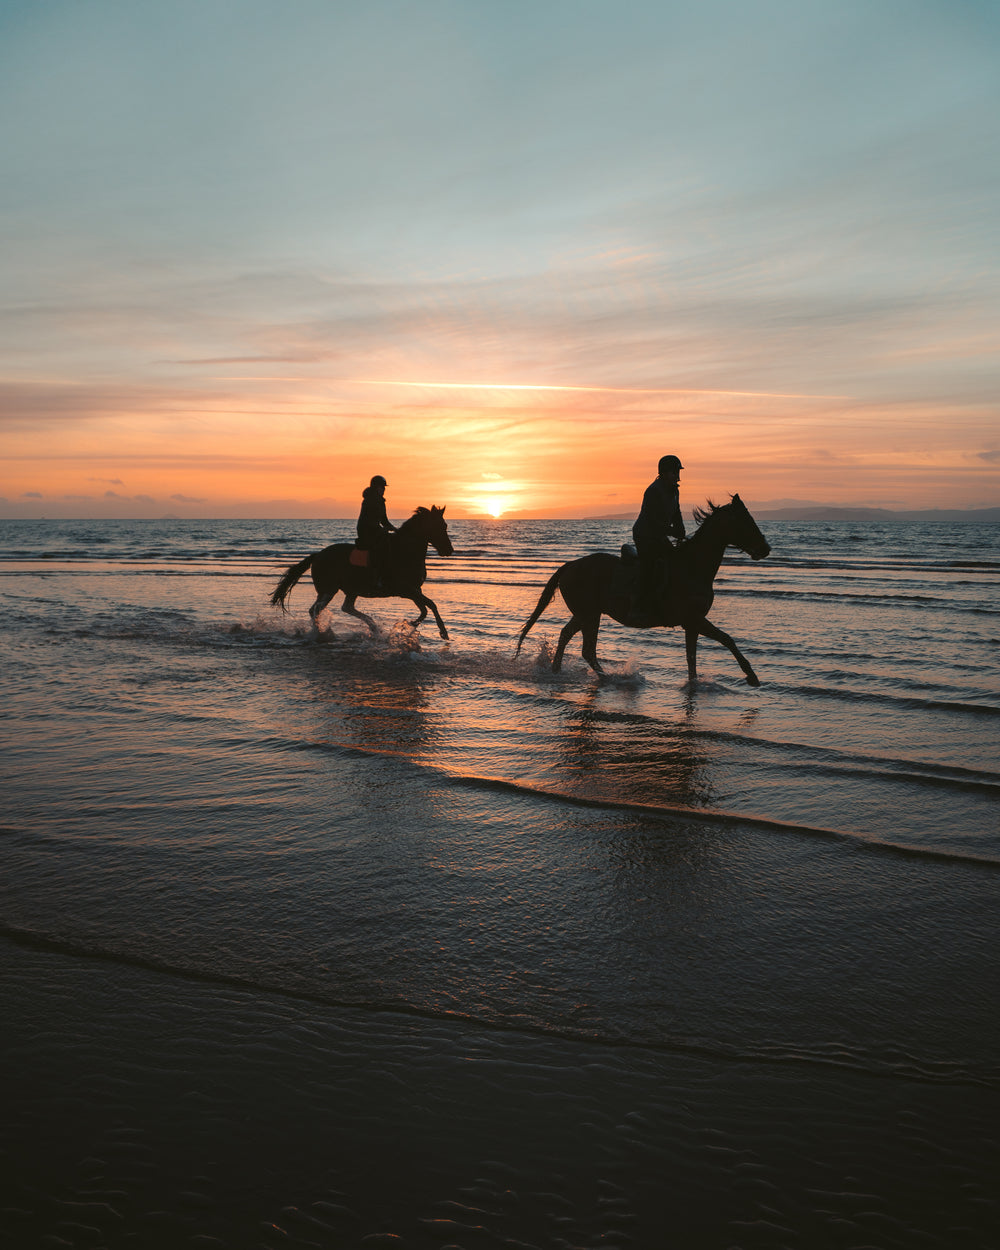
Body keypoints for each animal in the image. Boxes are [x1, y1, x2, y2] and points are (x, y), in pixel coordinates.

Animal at [265, 505, 452, 640]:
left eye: (445, 526)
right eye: (438, 526)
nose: (449, 550)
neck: (406, 551)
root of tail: (318, 555)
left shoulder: (413, 590)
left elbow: (425, 609)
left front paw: (411, 625)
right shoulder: (405, 589)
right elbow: (431, 605)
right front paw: (443, 632)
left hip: (350, 589)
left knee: (345, 607)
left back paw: (373, 627)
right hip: (328, 589)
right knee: (316, 610)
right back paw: (324, 633)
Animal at [515, 492, 775, 685]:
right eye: (745, 522)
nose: (766, 549)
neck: (692, 566)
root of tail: (570, 565)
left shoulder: (692, 623)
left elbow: (692, 659)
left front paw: (694, 684)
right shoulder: (695, 619)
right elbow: (727, 639)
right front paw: (752, 676)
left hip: (587, 614)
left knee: (568, 637)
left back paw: (559, 671)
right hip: (588, 614)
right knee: (585, 648)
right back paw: (609, 679)